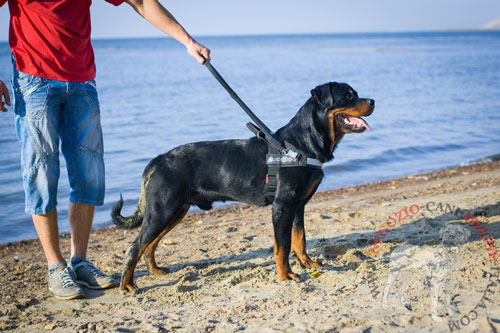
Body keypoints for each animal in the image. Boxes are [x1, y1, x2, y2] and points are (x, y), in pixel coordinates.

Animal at [111, 81, 374, 292]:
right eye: (348, 96)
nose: (373, 101)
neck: (301, 145)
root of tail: (159, 159)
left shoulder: (298, 206)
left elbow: (300, 240)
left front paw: (307, 264)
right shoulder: (282, 207)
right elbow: (283, 246)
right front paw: (286, 275)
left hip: (175, 211)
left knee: (150, 244)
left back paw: (154, 270)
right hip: (162, 211)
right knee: (136, 246)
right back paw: (127, 285)